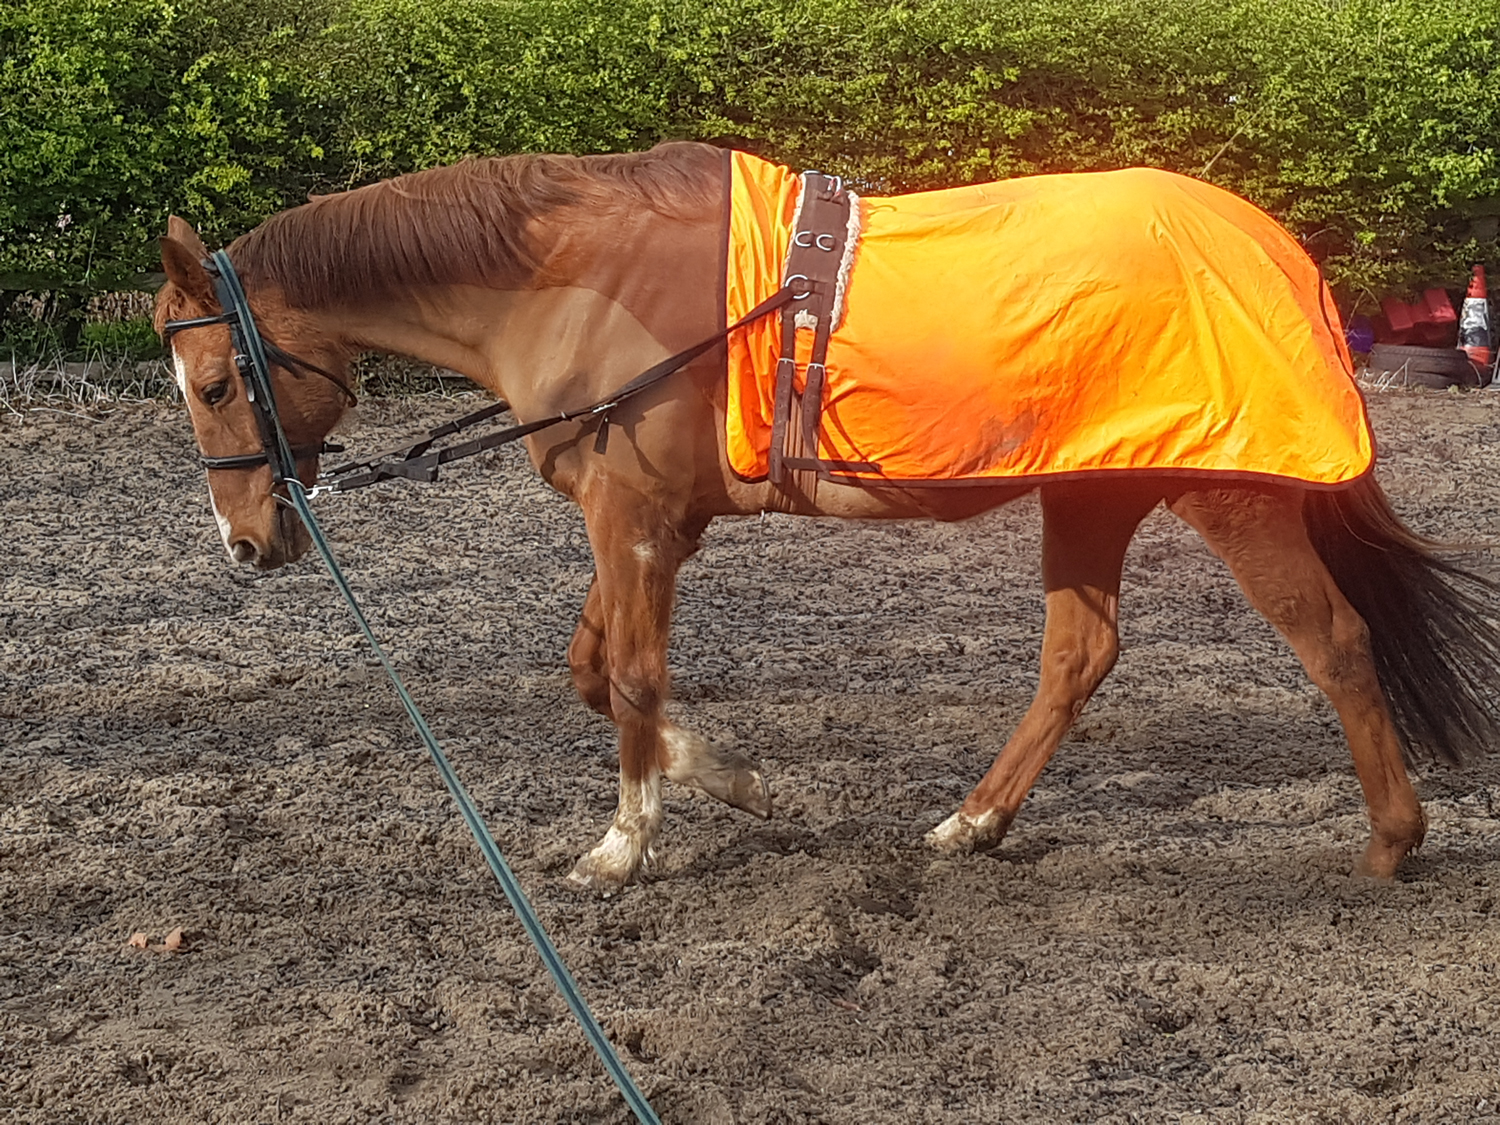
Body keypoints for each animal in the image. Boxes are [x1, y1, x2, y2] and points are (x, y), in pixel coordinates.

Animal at [152, 143, 1500, 900]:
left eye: (213, 383)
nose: (244, 544)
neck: (576, 279)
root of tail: (1278, 250)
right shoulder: (650, 518)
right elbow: (593, 673)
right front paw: (736, 783)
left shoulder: (633, 518)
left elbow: (630, 679)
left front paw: (626, 846)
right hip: (1092, 489)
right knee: (1080, 653)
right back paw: (974, 822)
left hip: (1231, 491)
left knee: (1333, 643)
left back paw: (1393, 843)